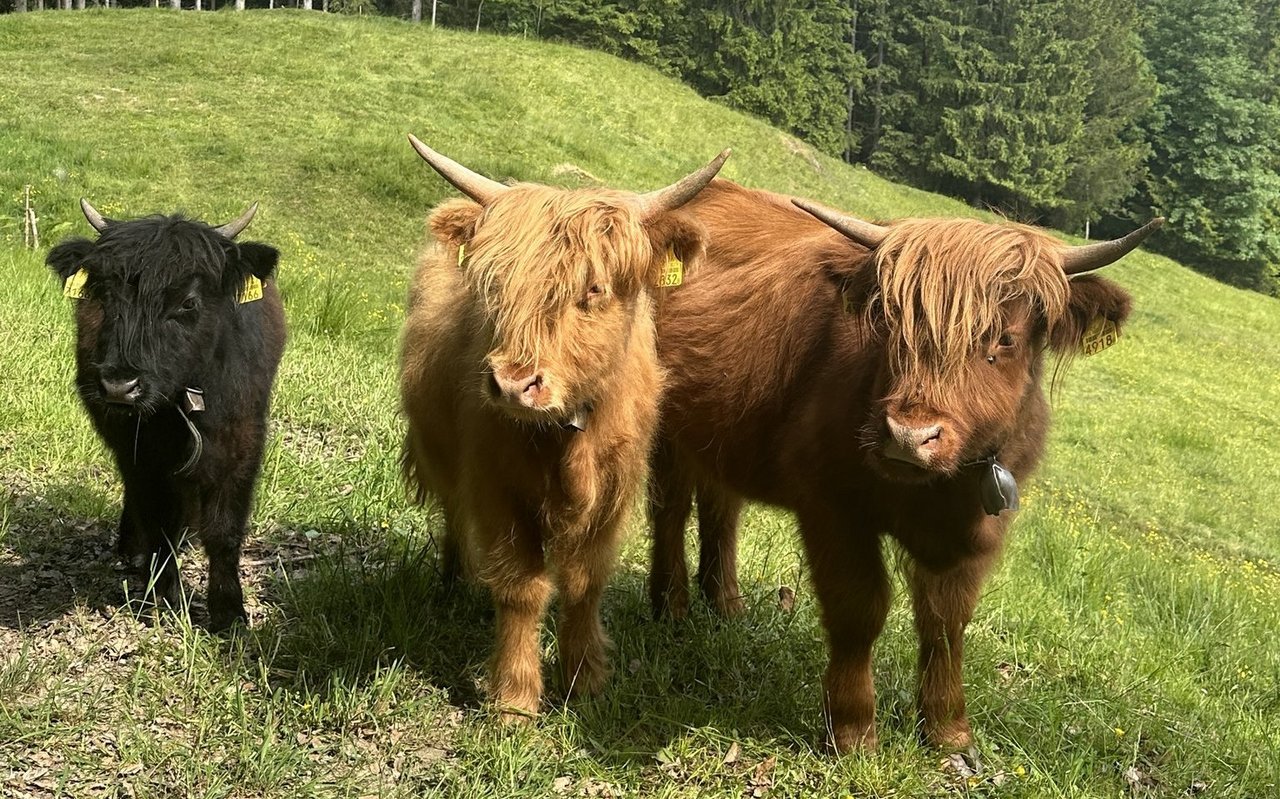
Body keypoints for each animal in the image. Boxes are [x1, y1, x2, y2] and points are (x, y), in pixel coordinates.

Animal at [46, 200, 285, 632]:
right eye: (104, 293)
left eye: (187, 303)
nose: (119, 385)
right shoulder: (142, 457)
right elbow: (159, 525)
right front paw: (165, 598)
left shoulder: (241, 448)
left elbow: (224, 531)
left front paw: (229, 613)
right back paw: (131, 549)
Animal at [400, 135, 728, 719]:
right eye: (494, 284)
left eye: (593, 288)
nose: (512, 384)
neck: (565, 437)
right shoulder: (496, 486)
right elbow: (521, 587)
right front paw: (514, 701)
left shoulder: (616, 490)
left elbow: (583, 584)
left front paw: (585, 682)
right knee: (454, 516)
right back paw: (455, 581)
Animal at [646, 180, 1161, 753]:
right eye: (890, 325)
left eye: (1003, 339)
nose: (909, 438)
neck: (937, 491)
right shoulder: (831, 505)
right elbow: (859, 606)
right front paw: (852, 731)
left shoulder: (982, 528)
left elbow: (946, 621)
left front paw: (948, 730)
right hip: (666, 429)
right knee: (670, 510)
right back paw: (671, 608)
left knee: (722, 506)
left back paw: (725, 604)